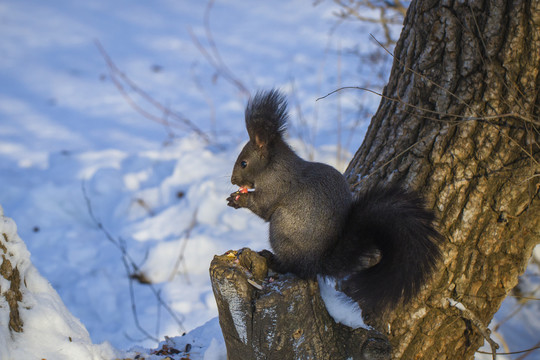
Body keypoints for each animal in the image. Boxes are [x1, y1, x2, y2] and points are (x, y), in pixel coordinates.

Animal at [226, 89, 440, 312]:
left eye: (243, 163)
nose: (233, 181)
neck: (272, 166)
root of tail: (318, 262)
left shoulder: (276, 187)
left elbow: (263, 206)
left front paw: (238, 200)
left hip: (281, 230)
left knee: (296, 268)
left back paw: (274, 261)